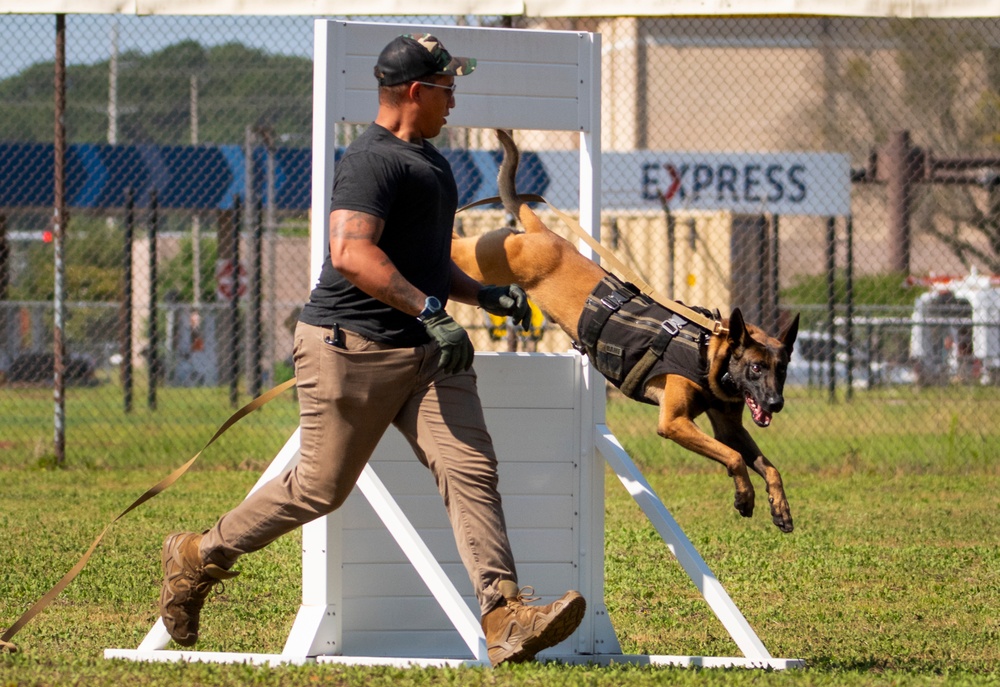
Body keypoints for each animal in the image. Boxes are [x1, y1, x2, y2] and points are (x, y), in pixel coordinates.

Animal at [450, 130, 800, 536]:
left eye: (782, 370)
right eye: (756, 368)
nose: (776, 403)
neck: (708, 352)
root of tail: (545, 233)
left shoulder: (729, 428)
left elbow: (767, 466)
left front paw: (780, 508)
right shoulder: (674, 423)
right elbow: (733, 458)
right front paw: (745, 497)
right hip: (479, 260)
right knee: (451, 247)